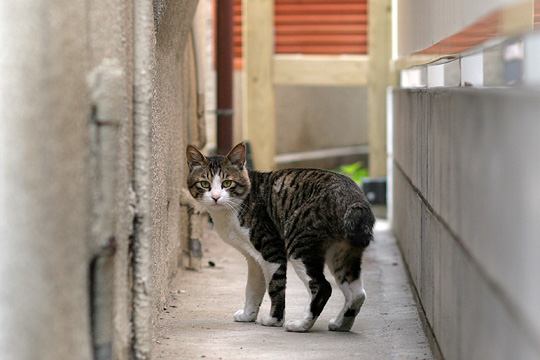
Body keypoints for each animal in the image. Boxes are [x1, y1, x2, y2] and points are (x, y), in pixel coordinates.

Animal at [186, 142, 376, 334]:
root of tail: (355, 198)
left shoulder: (271, 249)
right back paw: (340, 325)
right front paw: (248, 315)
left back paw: (301, 325)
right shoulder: (253, 259)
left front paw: (273, 320)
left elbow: (275, 287)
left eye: (227, 183)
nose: (216, 197)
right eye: (204, 184)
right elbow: (252, 288)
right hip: (342, 252)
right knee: (358, 293)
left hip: (298, 243)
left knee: (323, 287)